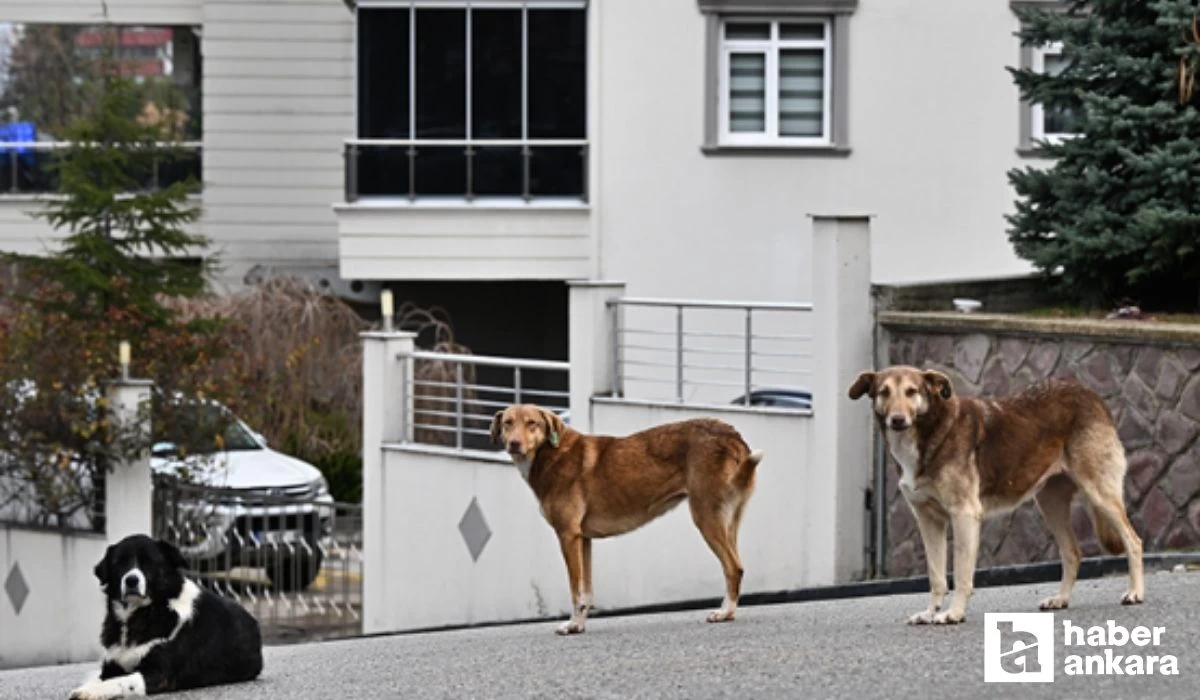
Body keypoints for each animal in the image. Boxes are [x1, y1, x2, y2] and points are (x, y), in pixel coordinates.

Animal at [70, 533, 262, 696]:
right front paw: (86, 688)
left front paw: (93, 691)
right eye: (119, 563)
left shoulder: (161, 673)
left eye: (149, 562)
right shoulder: (111, 665)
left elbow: (124, 680)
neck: (144, 612)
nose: (131, 580)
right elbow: (101, 678)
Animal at [492, 405, 763, 633]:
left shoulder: (567, 536)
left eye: (532, 423)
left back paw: (724, 612)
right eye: (507, 423)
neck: (550, 454)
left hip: (706, 517)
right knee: (737, 566)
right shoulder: (583, 539)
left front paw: (571, 625)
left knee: (733, 567)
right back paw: (730, 612)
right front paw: (578, 625)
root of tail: (732, 435)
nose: (514, 444)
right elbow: (586, 591)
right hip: (728, 522)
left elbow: (575, 590)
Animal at [844, 367, 1142, 624]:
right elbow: (937, 577)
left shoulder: (964, 515)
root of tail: (1090, 393)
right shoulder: (929, 521)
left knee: (1133, 541)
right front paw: (930, 614)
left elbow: (961, 574)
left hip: (1099, 493)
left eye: (911, 391)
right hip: (1050, 504)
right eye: (884, 392)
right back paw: (1061, 599)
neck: (930, 432)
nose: (897, 420)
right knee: (1072, 552)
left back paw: (1136, 593)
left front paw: (954, 614)